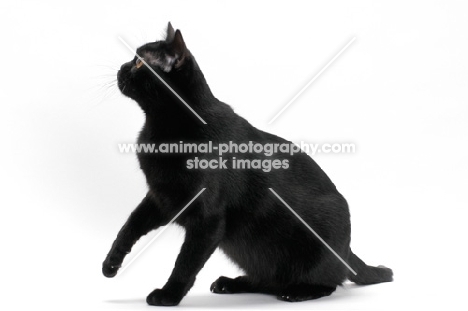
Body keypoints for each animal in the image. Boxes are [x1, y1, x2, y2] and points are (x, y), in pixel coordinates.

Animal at [102, 22, 392, 308]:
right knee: (268, 280)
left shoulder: (208, 219)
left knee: (328, 282)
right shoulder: (161, 199)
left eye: (140, 62)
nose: (122, 67)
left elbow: (185, 262)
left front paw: (168, 295)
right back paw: (231, 283)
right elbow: (129, 226)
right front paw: (110, 264)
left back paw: (298, 292)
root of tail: (348, 249)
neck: (161, 129)